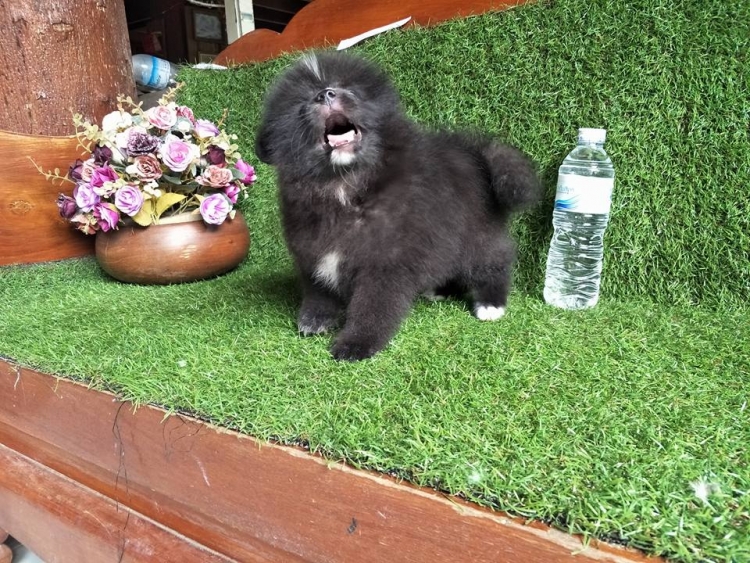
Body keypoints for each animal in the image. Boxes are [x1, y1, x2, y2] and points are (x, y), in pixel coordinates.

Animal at [255, 51, 540, 361]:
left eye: (349, 90)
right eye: (301, 104)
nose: (325, 94)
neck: (344, 184)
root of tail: (476, 155)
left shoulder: (387, 261)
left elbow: (373, 305)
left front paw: (357, 343)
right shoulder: (313, 250)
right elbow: (319, 291)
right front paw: (315, 319)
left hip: (476, 233)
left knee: (493, 261)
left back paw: (491, 303)